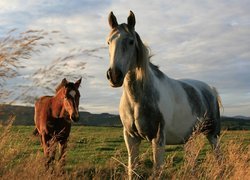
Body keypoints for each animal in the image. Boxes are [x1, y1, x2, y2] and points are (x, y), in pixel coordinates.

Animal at [105, 11, 221, 179]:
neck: (136, 100)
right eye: (108, 42)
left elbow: (157, 169)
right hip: (190, 138)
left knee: (219, 157)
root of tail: (210, 89)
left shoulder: (158, 138)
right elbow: (132, 169)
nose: (114, 75)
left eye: (131, 41)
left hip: (213, 134)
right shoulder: (131, 138)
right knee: (191, 161)